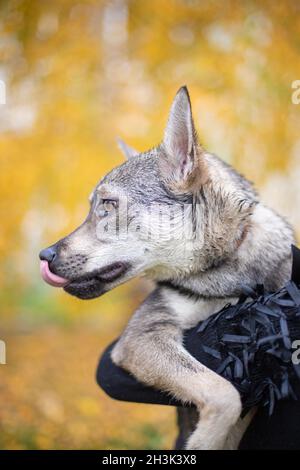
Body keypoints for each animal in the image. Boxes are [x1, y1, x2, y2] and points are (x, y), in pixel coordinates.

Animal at [38, 86, 294, 450]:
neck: (224, 278)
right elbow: (224, 391)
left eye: (108, 204)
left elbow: (227, 396)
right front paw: (202, 442)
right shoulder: (141, 336)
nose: (44, 255)